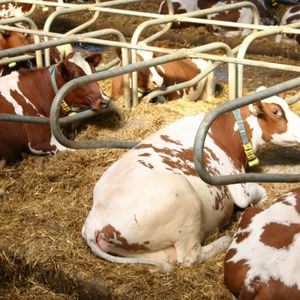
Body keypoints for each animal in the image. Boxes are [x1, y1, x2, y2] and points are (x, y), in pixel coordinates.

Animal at [81, 88, 300, 270]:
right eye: (275, 112)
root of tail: (94, 222)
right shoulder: (237, 186)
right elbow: (259, 193)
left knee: (168, 259)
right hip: (185, 202)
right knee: (189, 257)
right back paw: (225, 240)